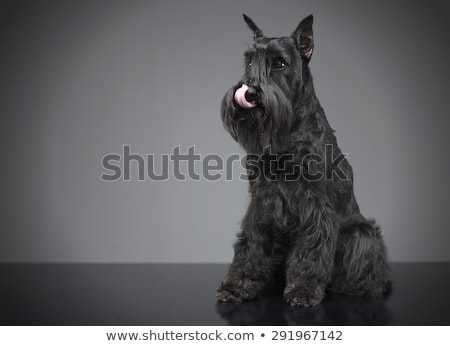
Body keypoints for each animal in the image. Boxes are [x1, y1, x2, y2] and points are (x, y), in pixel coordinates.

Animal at [216, 13, 388, 306]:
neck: (284, 136)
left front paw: (303, 290)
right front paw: (237, 286)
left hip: (363, 233)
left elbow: (311, 250)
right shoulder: (261, 203)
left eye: (280, 63)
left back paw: (353, 286)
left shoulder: (315, 207)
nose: (249, 93)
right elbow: (251, 245)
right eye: (249, 60)